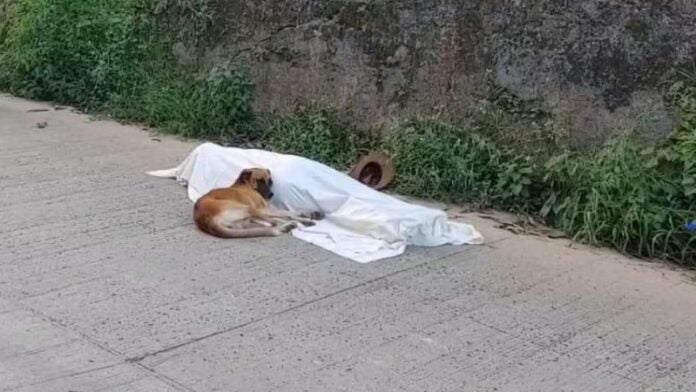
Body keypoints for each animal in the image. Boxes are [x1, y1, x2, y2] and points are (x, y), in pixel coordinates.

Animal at [148, 142, 484, 264]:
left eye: (270, 180)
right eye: (261, 180)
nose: (271, 193)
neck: (243, 183)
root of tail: (203, 219)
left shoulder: (265, 206)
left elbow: (283, 212)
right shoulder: (261, 203)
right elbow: (287, 210)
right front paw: (305, 214)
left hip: (250, 215)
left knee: (271, 222)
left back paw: (298, 222)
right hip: (249, 209)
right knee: (277, 220)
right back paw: (303, 219)